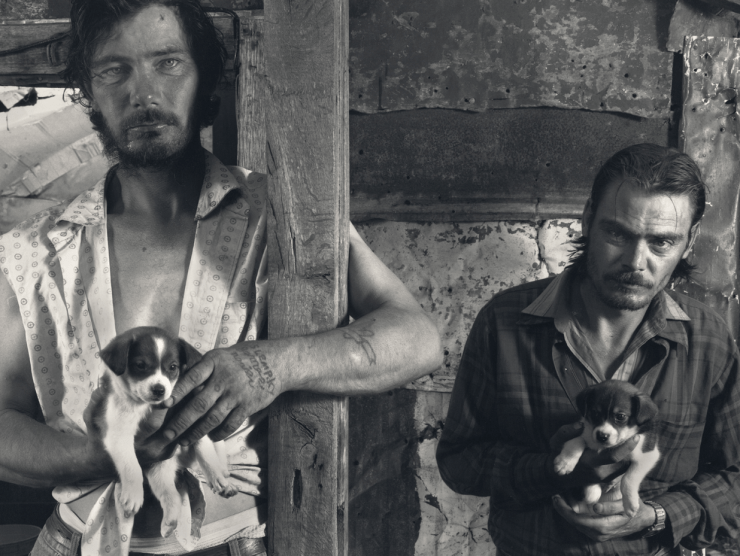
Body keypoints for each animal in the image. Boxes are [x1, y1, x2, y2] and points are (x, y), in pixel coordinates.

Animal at [94, 326, 236, 540]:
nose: (159, 390)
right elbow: (131, 466)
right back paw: (169, 525)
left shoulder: (193, 423)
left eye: (173, 367)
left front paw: (217, 478)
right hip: (158, 471)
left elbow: (206, 455)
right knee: (173, 497)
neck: (148, 408)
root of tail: (178, 462)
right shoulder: (119, 434)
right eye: (140, 365)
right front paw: (133, 495)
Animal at [552, 380, 660, 516]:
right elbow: (577, 441)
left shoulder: (647, 454)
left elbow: (628, 478)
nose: (602, 436)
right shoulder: (586, 434)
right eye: (594, 413)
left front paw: (630, 504)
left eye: (620, 416)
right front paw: (564, 463)